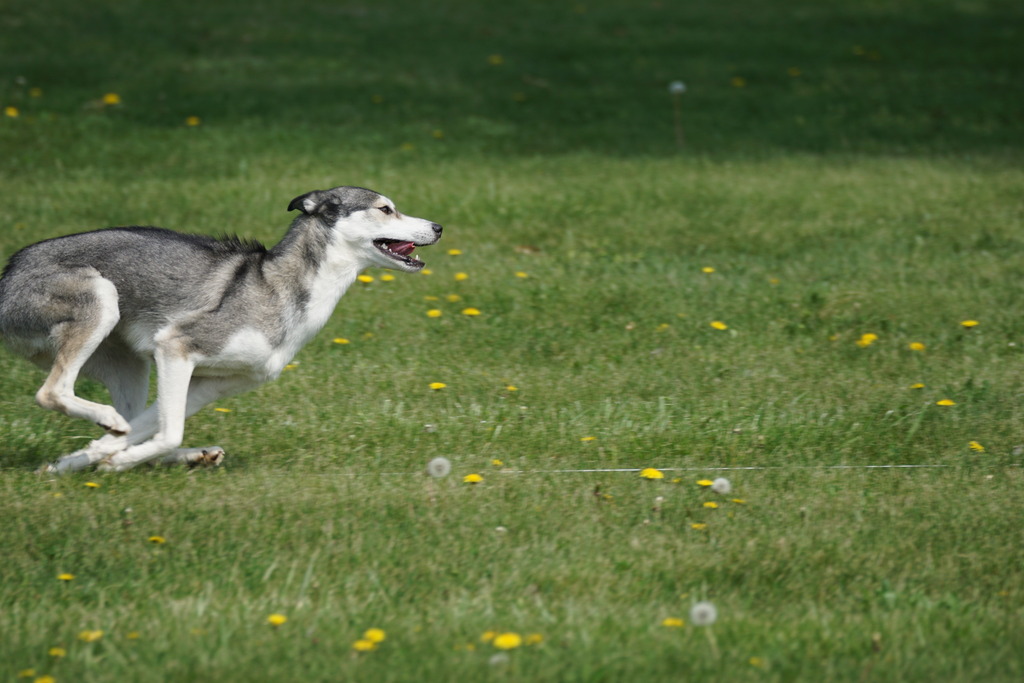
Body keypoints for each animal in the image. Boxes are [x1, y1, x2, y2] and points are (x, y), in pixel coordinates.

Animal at [0, 187, 440, 475]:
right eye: (386, 209)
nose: (438, 226)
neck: (279, 285)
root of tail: (8, 274)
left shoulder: (210, 386)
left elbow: (153, 429)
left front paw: (82, 460)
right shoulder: (175, 348)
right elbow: (168, 432)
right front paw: (114, 461)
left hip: (130, 367)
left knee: (130, 420)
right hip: (102, 301)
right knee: (54, 392)